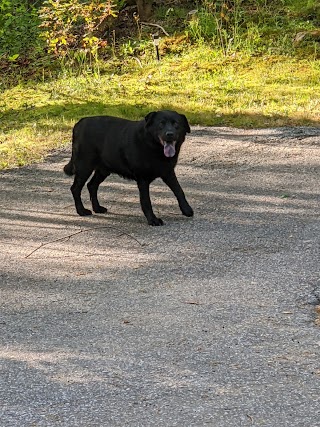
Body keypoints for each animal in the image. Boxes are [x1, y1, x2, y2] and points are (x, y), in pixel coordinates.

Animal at [62, 109, 192, 227]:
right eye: (161, 124)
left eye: (176, 124)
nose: (170, 134)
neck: (153, 146)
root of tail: (79, 123)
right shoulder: (143, 179)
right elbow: (146, 201)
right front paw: (152, 220)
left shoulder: (168, 172)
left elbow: (179, 190)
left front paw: (186, 209)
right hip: (84, 167)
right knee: (75, 188)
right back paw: (81, 211)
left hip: (103, 170)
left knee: (92, 185)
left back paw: (97, 208)